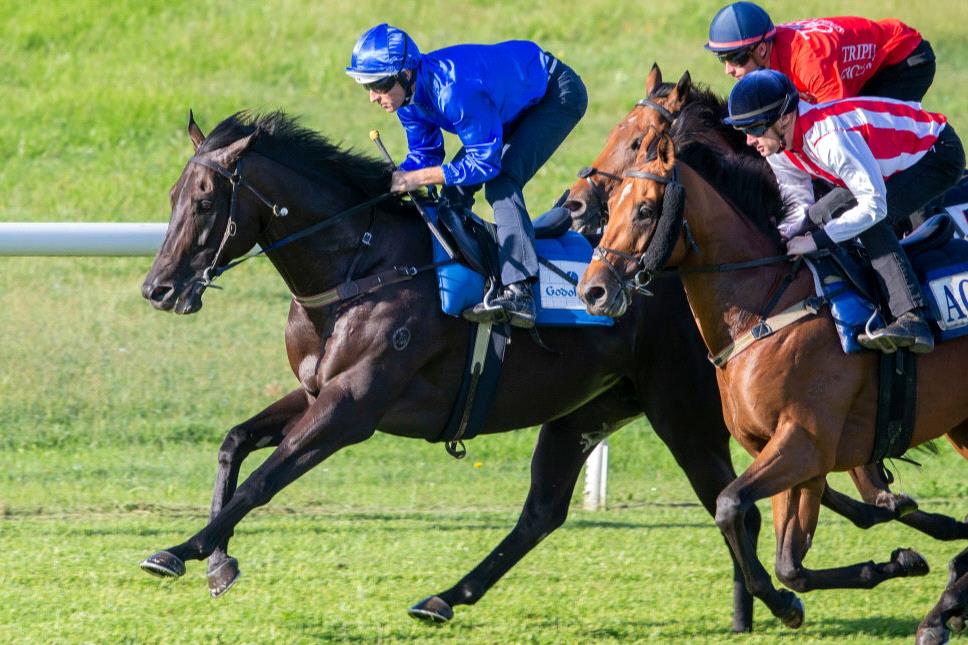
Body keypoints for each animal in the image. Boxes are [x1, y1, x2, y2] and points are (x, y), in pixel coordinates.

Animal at [140, 109, 768, 628]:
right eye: (171, 195)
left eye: (203, 201)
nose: (157, 288)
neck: (360, 268)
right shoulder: (317, 390)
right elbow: (234, 443)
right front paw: (218, 561)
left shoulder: (352, 407)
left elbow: (264, 480)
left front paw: (182, 550)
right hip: (589, 409)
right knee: (543, 513)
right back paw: (445, 598)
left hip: (682, 411)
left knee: (733, 503)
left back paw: (757, 604)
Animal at [580, 104, 968, 640]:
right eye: (614, 205)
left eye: (644, 210)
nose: (592, 291)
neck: (767, 308)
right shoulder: (788, 452)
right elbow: (791, 563)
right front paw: (894, 564)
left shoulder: (804, 442)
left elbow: (729, 506)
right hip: (962, 424)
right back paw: (944, 603)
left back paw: (944, 606)